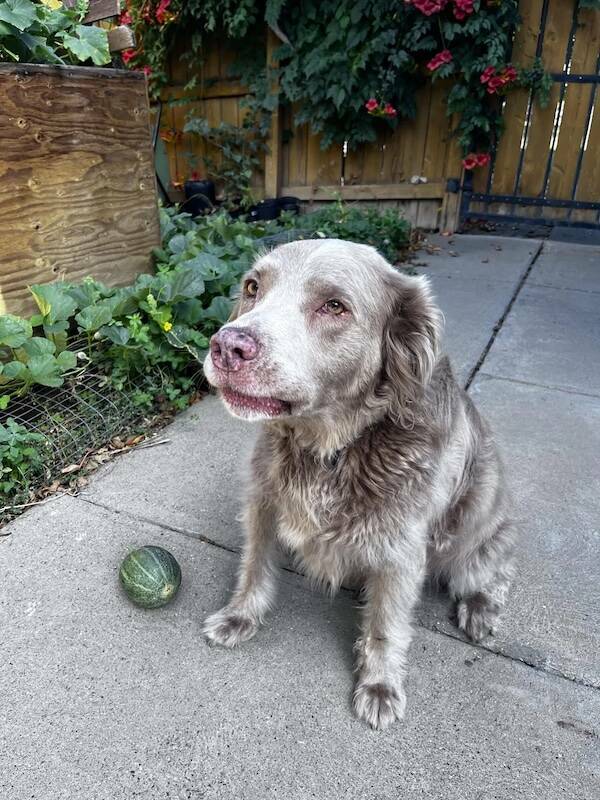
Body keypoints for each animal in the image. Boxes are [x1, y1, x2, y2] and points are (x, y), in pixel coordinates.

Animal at [202, 239, 516, 732]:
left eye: (334, 306)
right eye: (253, 287)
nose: (227, 346)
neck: (330, 450)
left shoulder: (400, 552)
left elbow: (385, 626)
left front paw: (380, 685)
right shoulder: (263, 505)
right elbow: (253, 569)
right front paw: (239, 616)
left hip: (478, 538)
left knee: (498, 570)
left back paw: (480, 607)